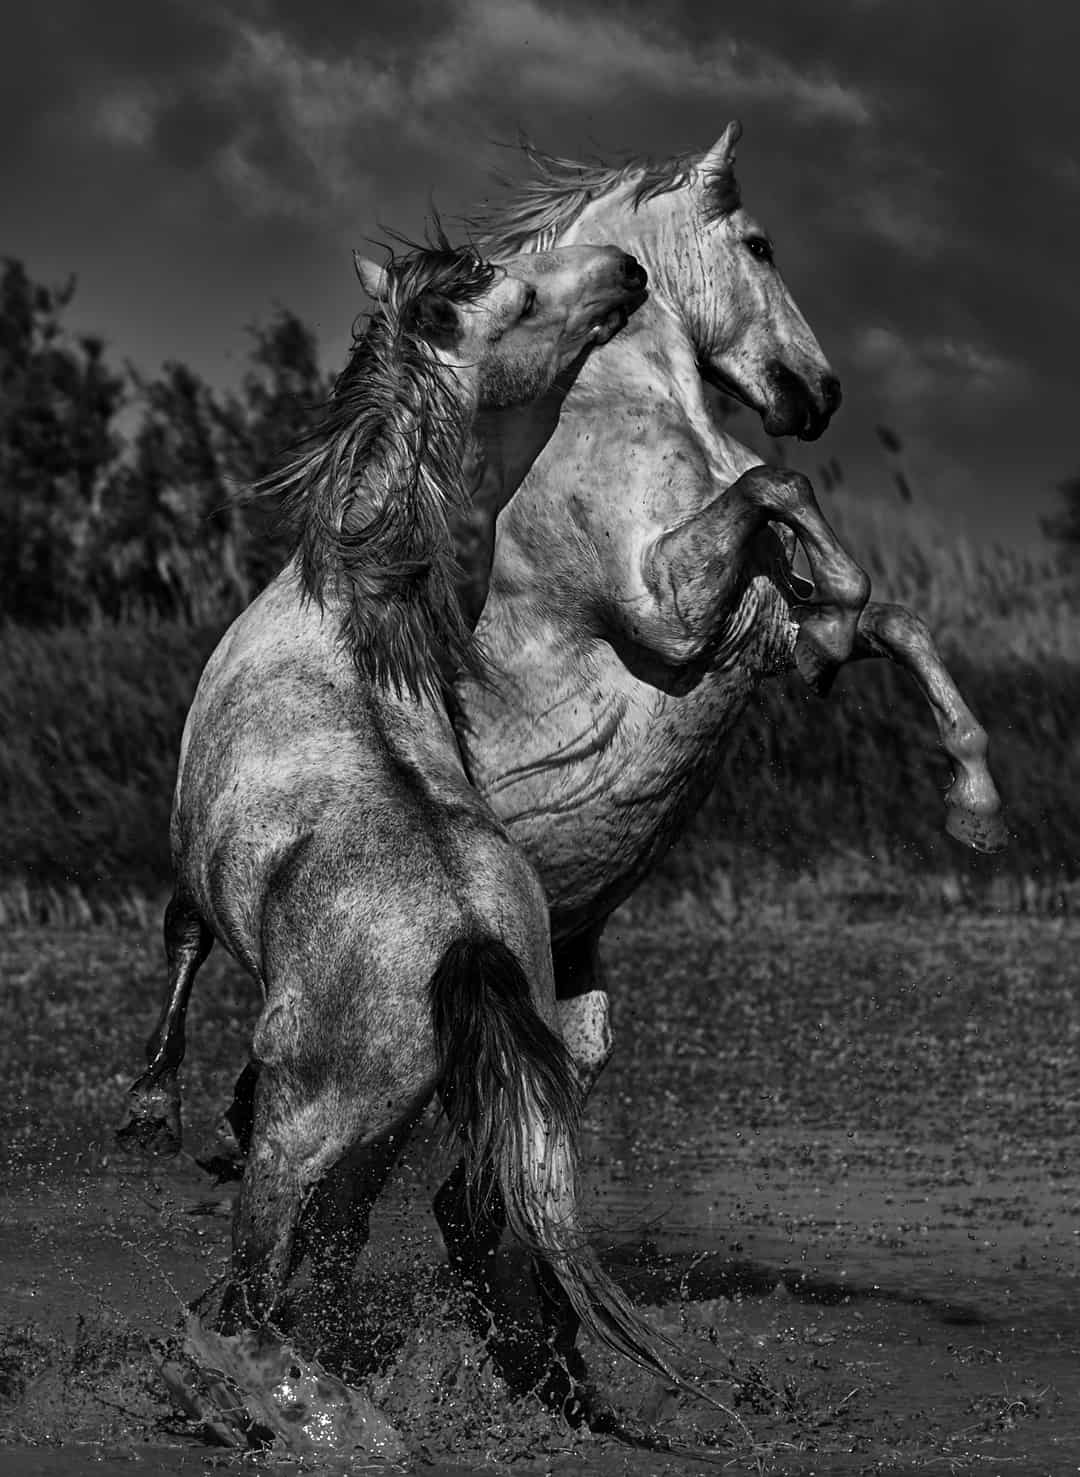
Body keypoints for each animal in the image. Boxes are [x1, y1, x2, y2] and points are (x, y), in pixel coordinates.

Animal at [115, 235, 699, 1406]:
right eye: (525, 284)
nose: (626, 268)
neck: (350, 605)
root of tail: (468, 942)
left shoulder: (190, 856)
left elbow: (182, 941)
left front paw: (155, 1106)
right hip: (443, 1111)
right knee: (451, 1220)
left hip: (314, 1127)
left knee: (264, 1274)